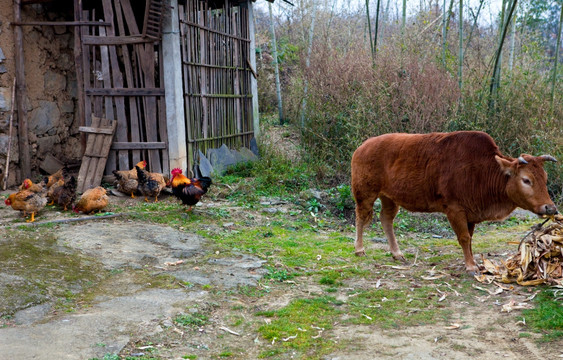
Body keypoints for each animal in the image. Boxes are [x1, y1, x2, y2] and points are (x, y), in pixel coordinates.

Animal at [354, 131, 556, 274]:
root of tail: (362, 146)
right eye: (526, 180)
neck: (483, 170)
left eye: (545, 178)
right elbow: (464, 237)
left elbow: (470, 237)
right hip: (365, 194)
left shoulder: (471, 214)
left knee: (386, 219)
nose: (550, 207)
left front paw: (474, 263)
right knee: (361, 218)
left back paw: (397, 254)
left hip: (389, 198)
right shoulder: (455, 210)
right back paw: (359, 250)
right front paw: (471, 266)